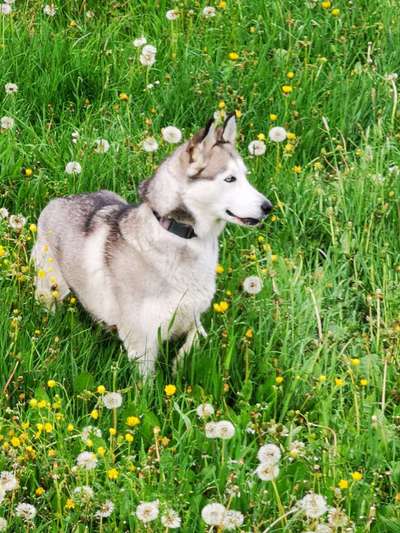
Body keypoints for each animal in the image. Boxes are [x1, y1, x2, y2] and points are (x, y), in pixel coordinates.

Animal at [32, 115, 272, 376]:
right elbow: (147, 384)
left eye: (245, 176)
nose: (268, 207)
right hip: (52, 289)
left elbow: (198, 337)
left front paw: (179, 366)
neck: (182, 236)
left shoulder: (193, 315)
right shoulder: (141, 344)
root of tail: (58, 200)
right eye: (230, 178)